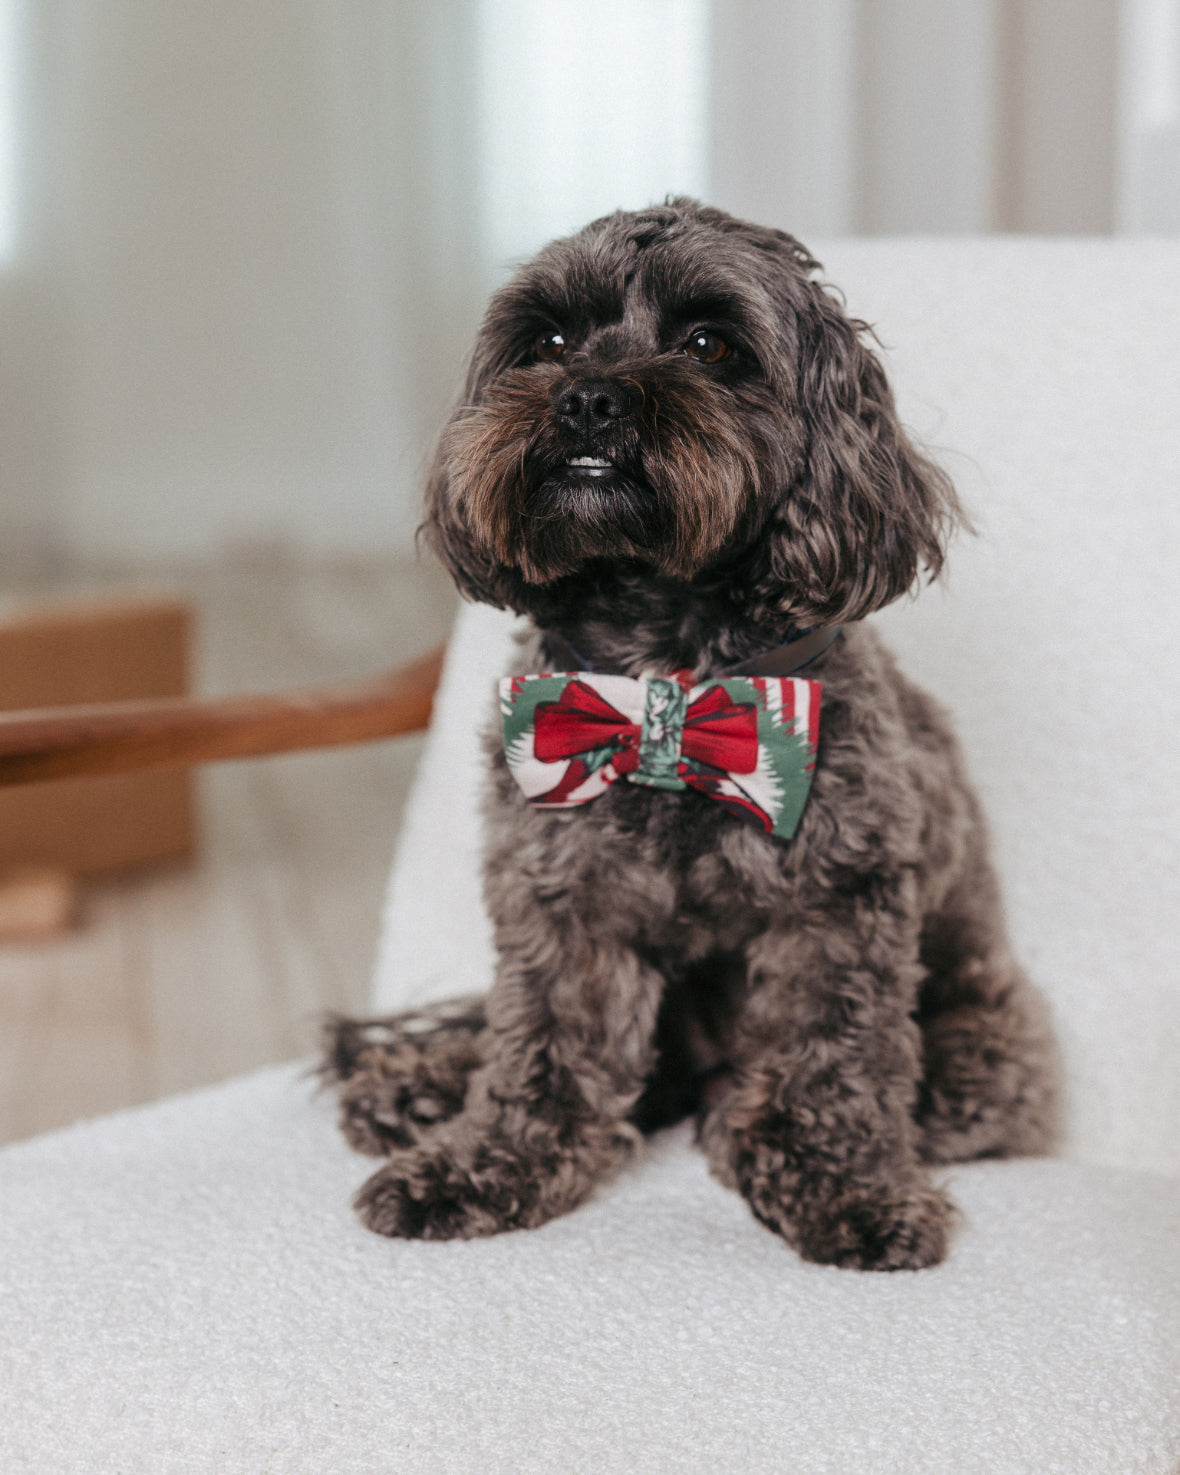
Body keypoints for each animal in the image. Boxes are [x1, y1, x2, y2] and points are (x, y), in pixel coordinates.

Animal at [324, 202, 1062, 1274]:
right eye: (550, 342)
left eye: (710, 344)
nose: (589, 400)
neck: (662, 685)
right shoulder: (561, 901)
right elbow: (544, 1049)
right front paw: (479, 1164)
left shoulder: (838, 905)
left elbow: (831, 1056)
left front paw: (845, 1187)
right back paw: (420, 1084)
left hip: (988, 1060)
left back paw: (731, 1126)